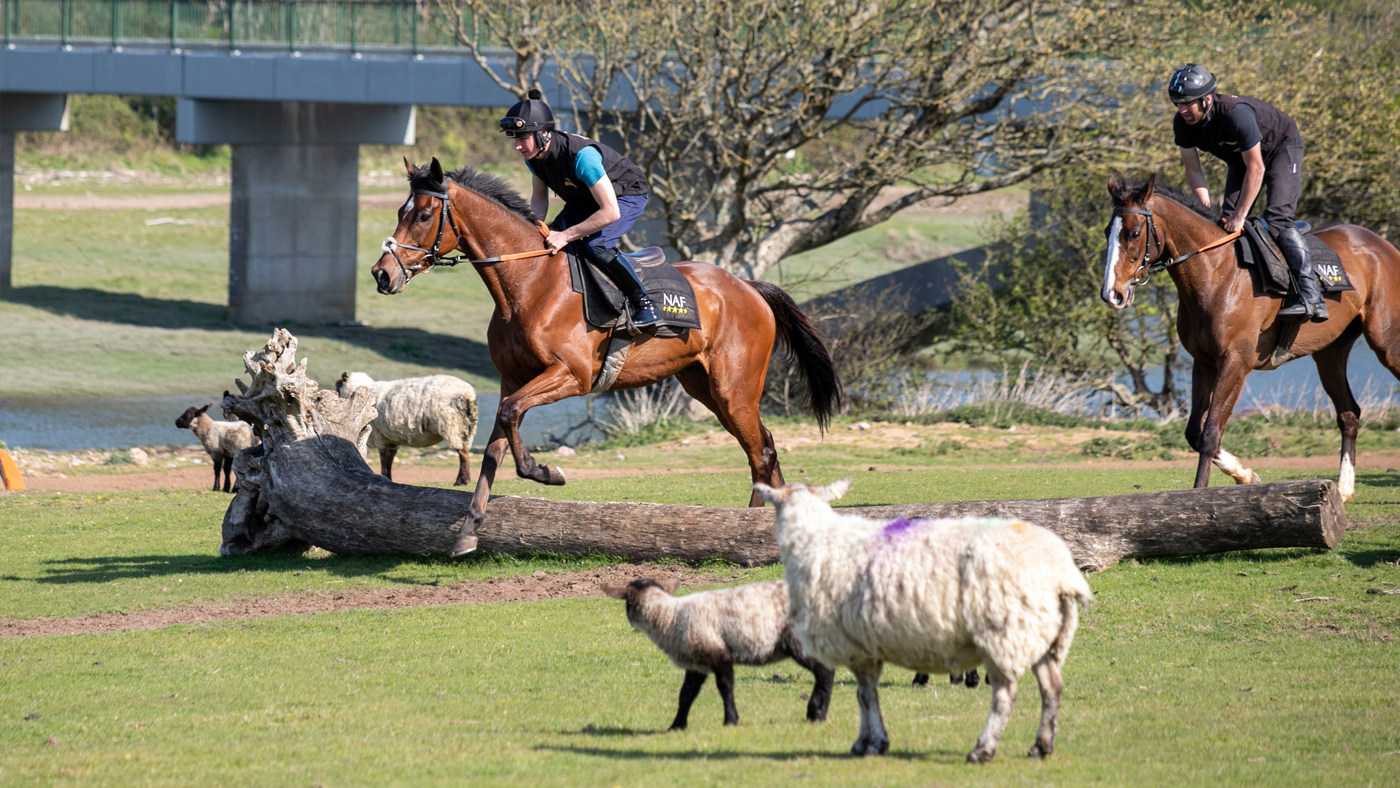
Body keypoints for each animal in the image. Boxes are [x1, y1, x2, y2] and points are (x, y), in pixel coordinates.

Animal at [371, 159, 841, 555]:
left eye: (424, 215)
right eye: (400, 210)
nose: (381, 274)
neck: (527, 283)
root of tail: (748, 286)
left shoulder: (572, 375)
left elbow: (510, 417)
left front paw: (545, 472)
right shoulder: (511, 380)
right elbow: (496, 445)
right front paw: (468, 534)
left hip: (734, 388)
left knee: (760, 453)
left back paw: (747, 528)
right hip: (703, 386)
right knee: (767, 446)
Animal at [1099, 174, 1400, 500]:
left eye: (1134, 233)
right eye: (1107, 232)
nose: (1112, 294)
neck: (1216, 272)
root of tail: (1385, 245)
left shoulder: (1235, 362)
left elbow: (1210, 433)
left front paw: (1200, 495)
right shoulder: (1204, 363)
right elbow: (1194, 433)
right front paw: (1246, 475)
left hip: (1387, 343)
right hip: (1329, 354)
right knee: (1349, 414)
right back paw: (1344, 489)